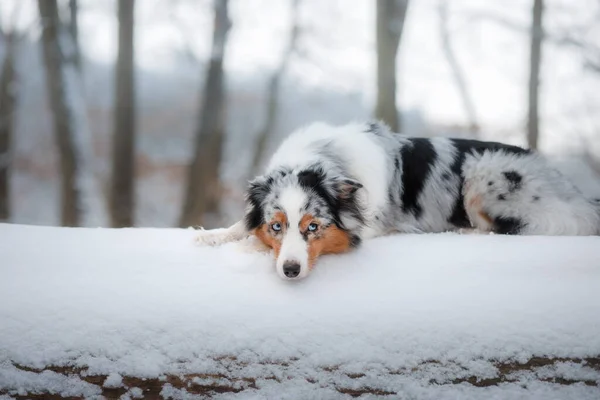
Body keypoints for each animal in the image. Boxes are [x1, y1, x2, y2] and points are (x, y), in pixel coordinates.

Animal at [196, 120, 600, 280]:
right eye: (276, 225)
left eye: (314, 227)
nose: (290, 270)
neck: (320, 160)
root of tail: (578, 196)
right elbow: (241, 225)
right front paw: (213, 236)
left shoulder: (372, 224)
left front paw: (245, 246)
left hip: (485, 172)